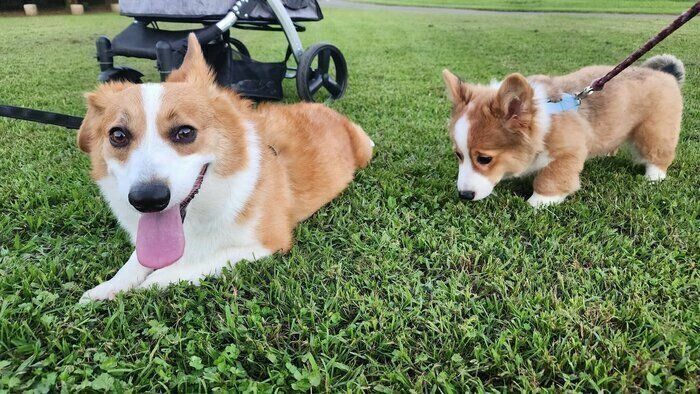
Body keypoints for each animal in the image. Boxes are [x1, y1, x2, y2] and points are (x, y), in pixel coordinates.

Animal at [77, 34, 374, 302]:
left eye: (185, 132)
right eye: (118, 135)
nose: (148, 200)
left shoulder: (265, 243)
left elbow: (190, 266)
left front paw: (152, 283)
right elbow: (137, 259)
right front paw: (108, 287)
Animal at [442, 55, 684, 209]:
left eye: (484, 159)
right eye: (458, 155)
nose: (464, 195)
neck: (544, 121)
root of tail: (666, 75)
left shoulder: (568, 152)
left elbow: (550, 178)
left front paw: (538, 203)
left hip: (654, 131)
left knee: (658, 153)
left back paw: (653, 177)